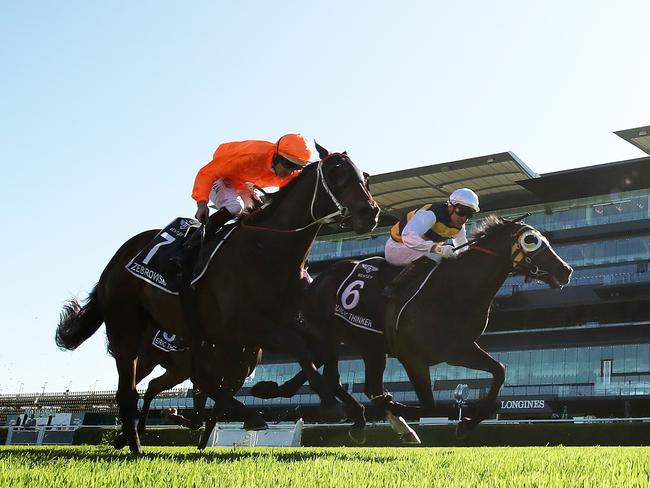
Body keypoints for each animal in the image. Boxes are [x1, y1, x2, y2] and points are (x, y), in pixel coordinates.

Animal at [57, 146, 380, 454]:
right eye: (336, 172)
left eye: (364, 176)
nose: (370, 213)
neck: (267, 250)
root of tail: (116, 259)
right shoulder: (242, 324)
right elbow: (299, 348)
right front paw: (331, 403)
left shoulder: (277, 330)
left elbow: (316, 353)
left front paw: (346, 408)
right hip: (127, 328)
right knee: (130, 389)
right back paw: (135, 443)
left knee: (165, 384)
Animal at [251, 215, 568, 440]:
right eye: (531, 240)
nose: (565, 270)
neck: (455, 290)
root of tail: (318, 280)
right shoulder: (412, 357)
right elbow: (427, 404)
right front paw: (397, 412)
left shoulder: (458, 350)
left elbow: (499, 371)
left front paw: (467, 423)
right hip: (332, 334)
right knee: (335, 378)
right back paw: (359, 414)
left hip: (369, 345)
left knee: (354, 380)